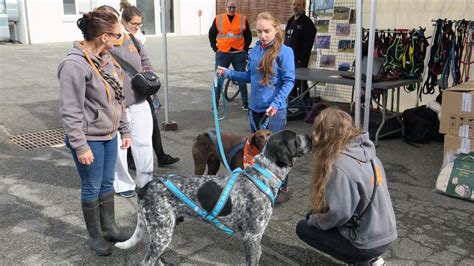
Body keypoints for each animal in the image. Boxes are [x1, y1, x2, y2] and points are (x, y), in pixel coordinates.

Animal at [116, 130, 312, 264]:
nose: (311, 136)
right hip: (162, 233)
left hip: (164, 231)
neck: (263, 174)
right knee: (147, 261)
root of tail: (146, 186)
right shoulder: (252, 238)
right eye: (296, 138)